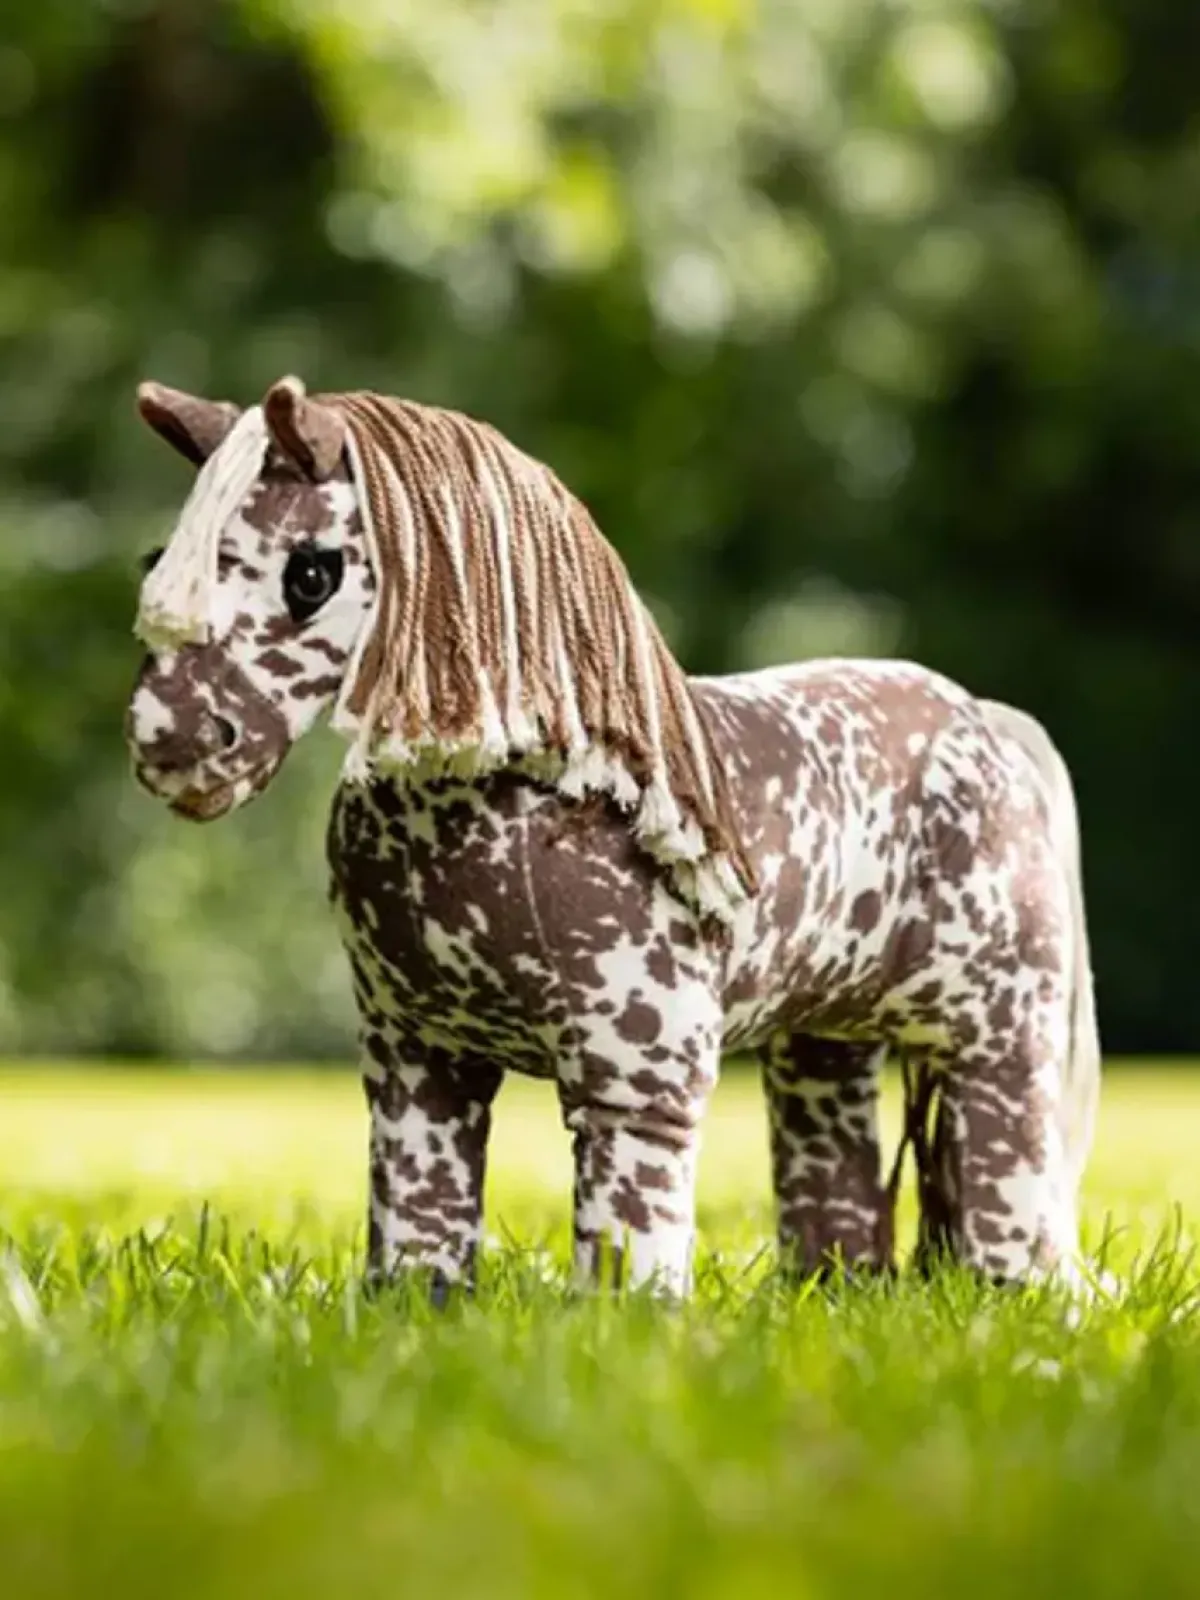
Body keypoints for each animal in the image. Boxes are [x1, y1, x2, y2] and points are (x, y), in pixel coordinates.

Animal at [124, 375, 1101, 1299]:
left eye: (311, 574)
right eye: (158, 560)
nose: (171, 741)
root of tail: (983, 720)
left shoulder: (637, 1080)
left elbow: (629, 1233)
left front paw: (626, 1322)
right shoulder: (418, 1064)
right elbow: (419, 1220)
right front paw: (414, 1313)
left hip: (995, 1032)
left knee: (1005, 1162)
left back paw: (1009, 1293)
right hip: (822, 1040)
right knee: (833, 1165)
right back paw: (834, 1290)